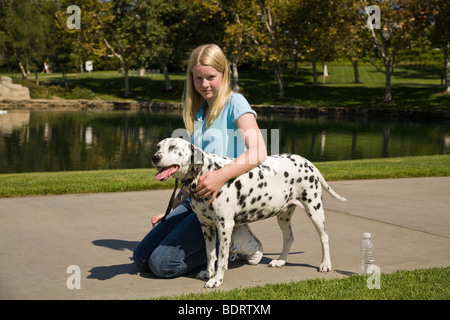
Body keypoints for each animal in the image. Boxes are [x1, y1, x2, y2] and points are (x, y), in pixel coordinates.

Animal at [153, 138, 346, 288]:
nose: (155, 157)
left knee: (324, 237)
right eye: (158, 146)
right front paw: (209, 273)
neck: (207, 172)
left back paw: (325, 264)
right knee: (289, 238)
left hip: (314, 210)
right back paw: (280, 260)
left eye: (173, 147)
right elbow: (210, 255)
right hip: (283, 216)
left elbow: (222, 257)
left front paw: (217, 280)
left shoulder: (224, 226)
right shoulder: (206, 227)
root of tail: (308, 162)